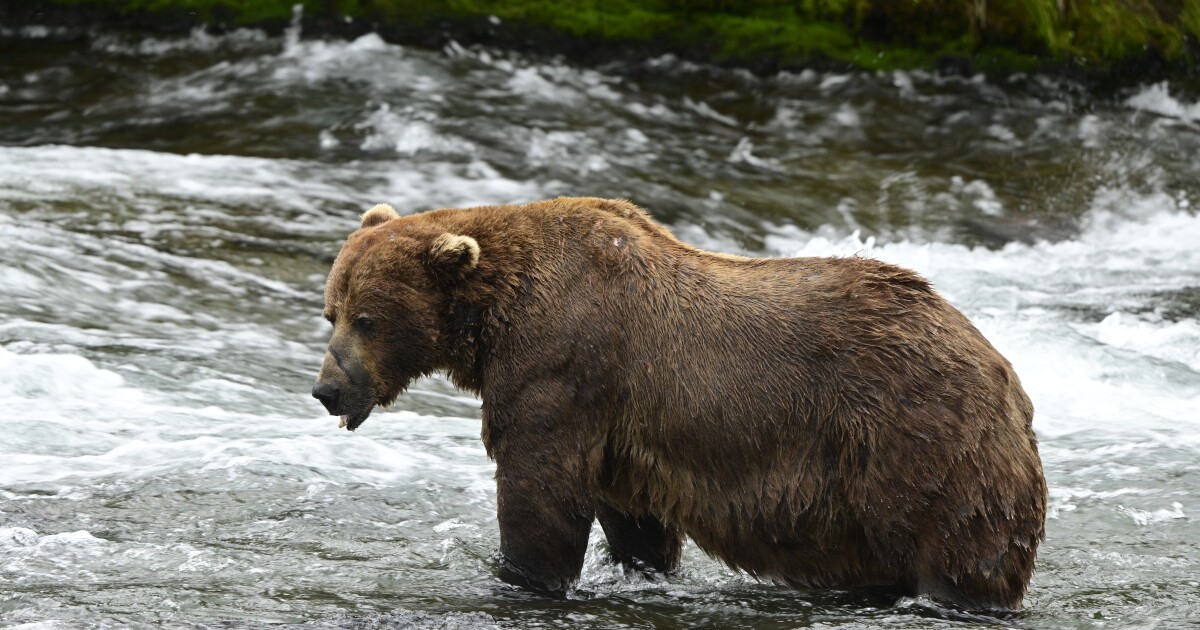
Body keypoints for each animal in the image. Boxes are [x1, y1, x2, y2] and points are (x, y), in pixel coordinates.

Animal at [311, 197, 1047, 611]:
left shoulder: (562, 364)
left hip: (918, 441)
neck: (493, 315)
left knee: (958, 552)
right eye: (331, 312)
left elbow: (539, 490)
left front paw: (519, 577)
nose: (327, 389)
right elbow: (632, 519)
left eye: (367, 318)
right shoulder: (620, 427)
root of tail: (1006, 374)